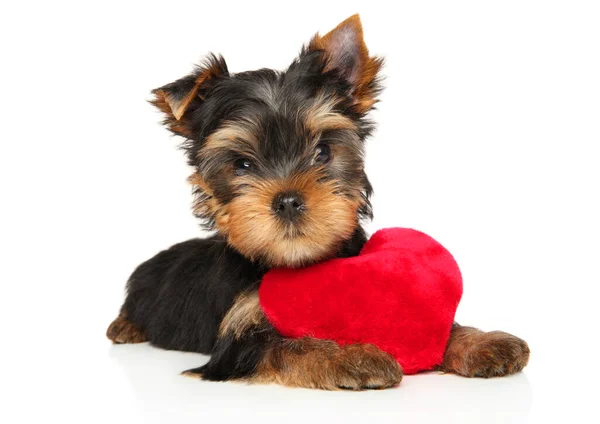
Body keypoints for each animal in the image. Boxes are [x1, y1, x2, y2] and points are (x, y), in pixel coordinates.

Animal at [108, 14, 528, 390]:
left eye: (323, 152)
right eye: (242, 164)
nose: (288, 200)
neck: (300, 262)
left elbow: (444, 329)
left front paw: (483, 341)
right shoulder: (237, 342)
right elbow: (291, 347)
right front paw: (353, 357)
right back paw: (123, 326)